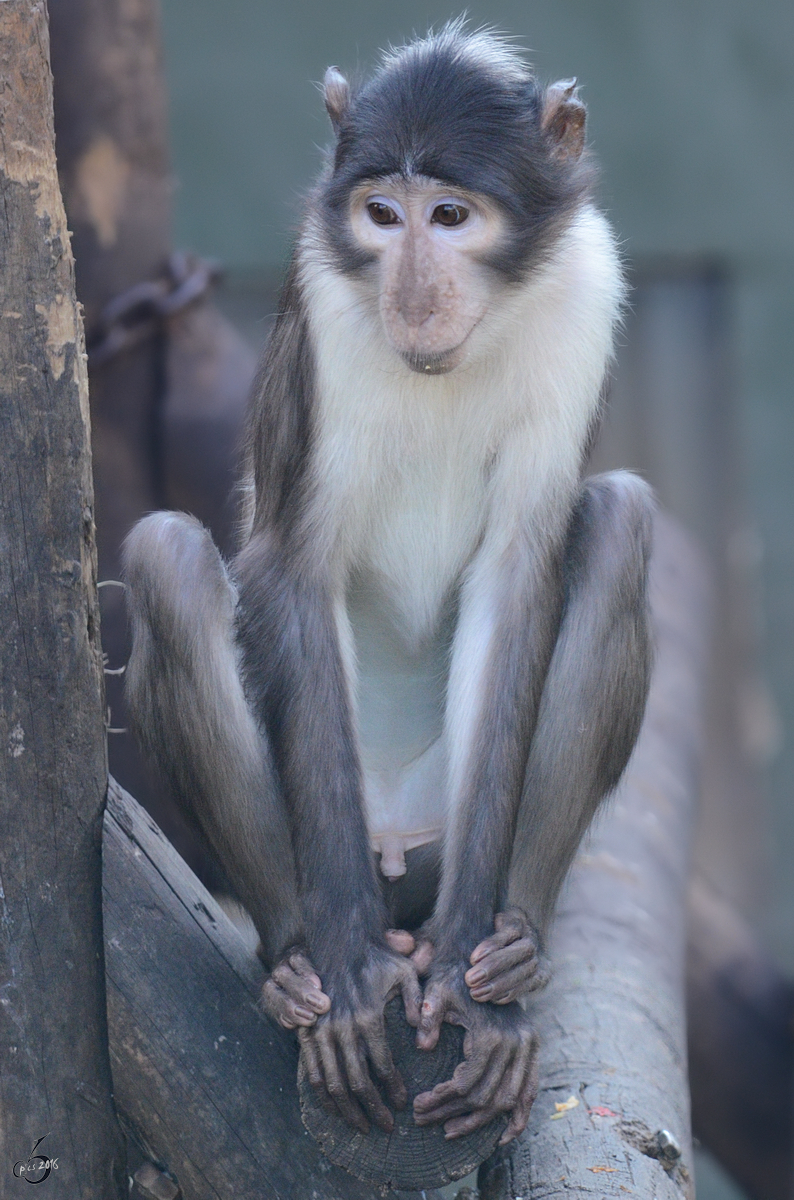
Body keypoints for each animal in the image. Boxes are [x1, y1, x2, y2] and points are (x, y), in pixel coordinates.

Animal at [122, 18, 652, 1142]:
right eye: (382, 214)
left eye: (449, 217)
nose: (410, 292)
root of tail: (402, 844)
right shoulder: (325, 290)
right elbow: (293, 562)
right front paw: (351, 976)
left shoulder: (586, 289)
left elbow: (520, 576)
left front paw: (467, 984)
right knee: (167, 560)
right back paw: (296, 960)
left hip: (439, 836)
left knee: (623, 520)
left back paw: (512, 946)